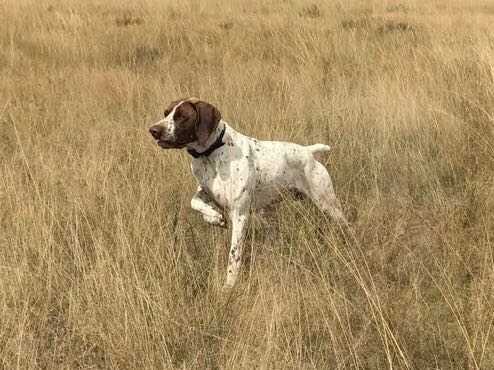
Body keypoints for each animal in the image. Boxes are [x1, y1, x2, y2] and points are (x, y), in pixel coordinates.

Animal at [149, 98, 346, 290]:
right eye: (166, 113)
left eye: (182, 116)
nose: (153, 130)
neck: (212, 153)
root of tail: (308, 151)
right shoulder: (206, 192)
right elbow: (195, 202)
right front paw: (214, 218)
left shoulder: (240, 215)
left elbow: (233, 257)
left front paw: (229, 286)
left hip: (328, 204)